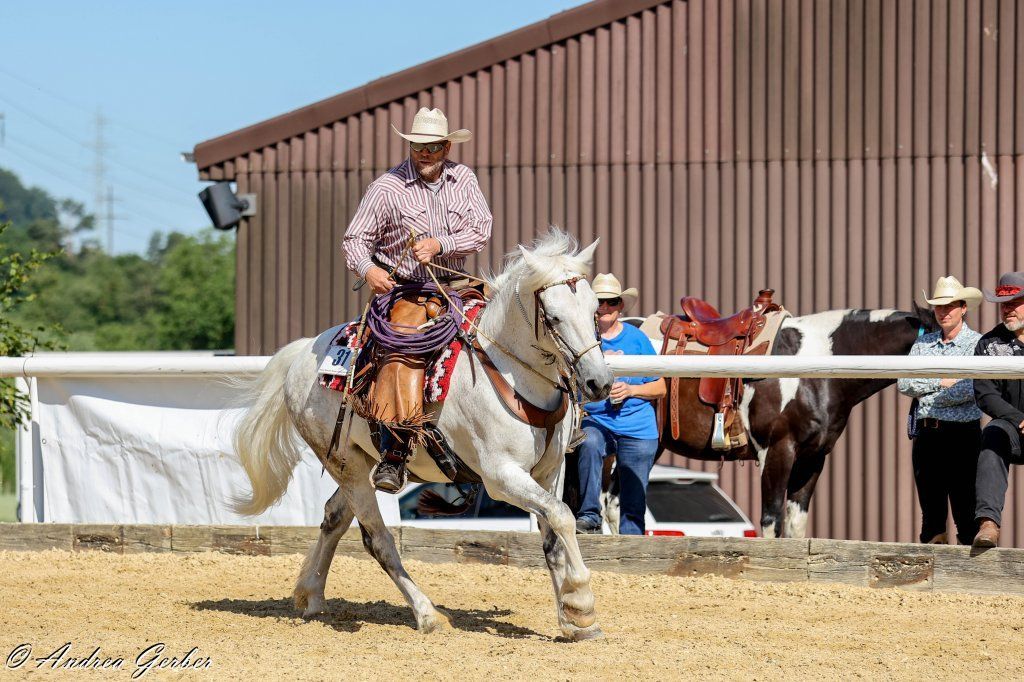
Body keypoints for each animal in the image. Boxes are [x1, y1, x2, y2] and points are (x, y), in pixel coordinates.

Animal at [230, 229, 614, 641]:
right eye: (553, 317)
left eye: (594, 311)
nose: (599, 383)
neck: (510, 373)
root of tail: (303, 353)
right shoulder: (502, 477)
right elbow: (562, 516)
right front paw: (581, 601)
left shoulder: (549, 473)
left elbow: (554, 536)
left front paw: (574, 619)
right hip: (344, 465)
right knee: (377, 539)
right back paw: (426, 613)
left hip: (357, 462)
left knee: (334, 517)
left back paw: (311, 595)